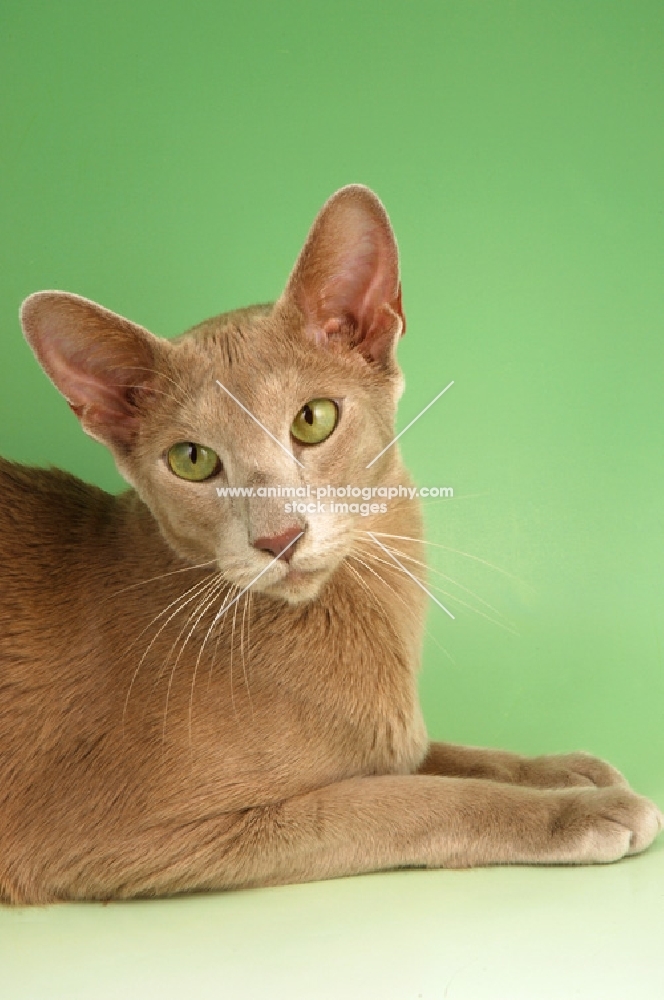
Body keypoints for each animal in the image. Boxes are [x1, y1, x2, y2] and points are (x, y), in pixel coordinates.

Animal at [1, 182, 660, 908]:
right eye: (193, 460)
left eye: (313, 419)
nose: (279, 537)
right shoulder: (136, 838)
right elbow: (414, 798)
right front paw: (581, 810)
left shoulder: (395, 741)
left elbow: (445, 757)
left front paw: (568, 769)